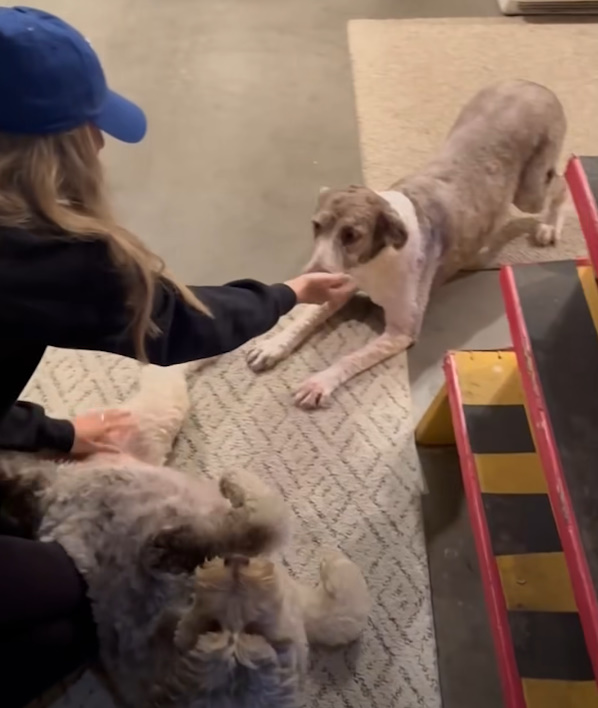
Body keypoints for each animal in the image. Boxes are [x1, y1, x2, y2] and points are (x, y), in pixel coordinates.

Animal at [246, 79, 568, 406]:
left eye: (351, 235)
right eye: (316, 225)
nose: (309, 276)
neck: (375, 259)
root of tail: (533, 85)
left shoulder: (402, 332)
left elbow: (350, 357)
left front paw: (319, 382)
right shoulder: (342, 284)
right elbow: (307, 317)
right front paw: (273, 344)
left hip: (529, 191)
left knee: (560, 183)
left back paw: (549, 226)